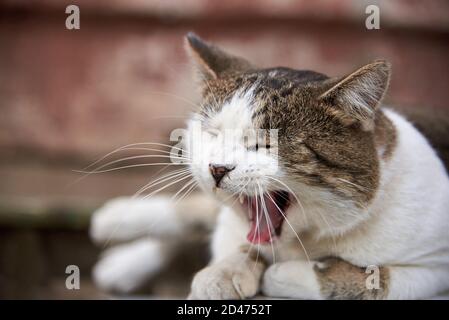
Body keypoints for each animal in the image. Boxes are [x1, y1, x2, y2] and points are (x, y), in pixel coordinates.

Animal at [88, 33, 448, 298]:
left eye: (266, 144)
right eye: (213, 133)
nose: (217, 168)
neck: (308, 238)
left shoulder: (435, 267)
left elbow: (381, 281)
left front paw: (286, 275)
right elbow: (235, 241)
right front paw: (224, 273)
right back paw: (118, 228)